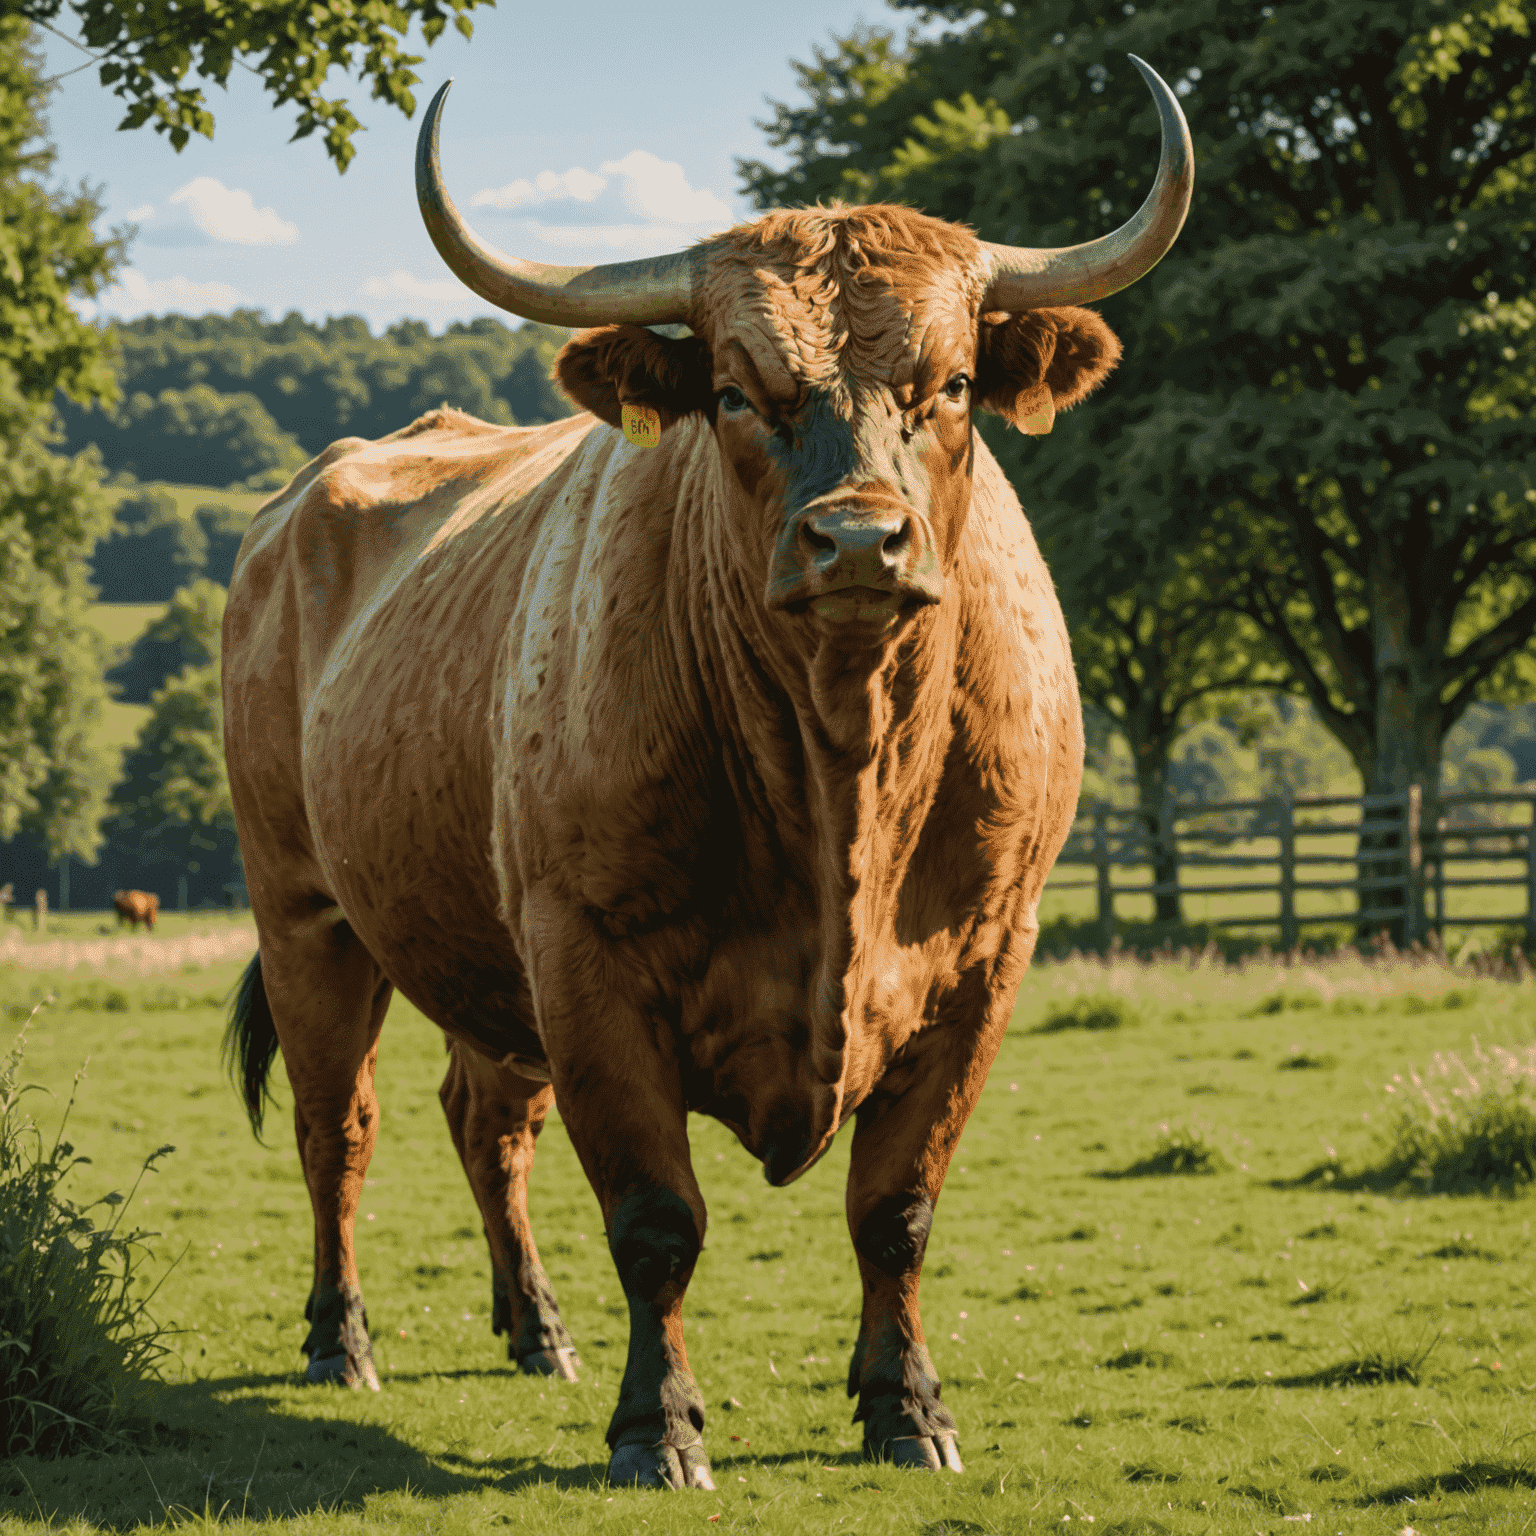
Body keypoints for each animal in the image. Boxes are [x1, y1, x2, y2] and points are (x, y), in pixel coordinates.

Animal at [222, 59, 1191, 1486]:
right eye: (737, 392)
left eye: (953, 383)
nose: (859, 541)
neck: (840, 771)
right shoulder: (586, 958)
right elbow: (654, 1221)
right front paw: (657, 1426)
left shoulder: (984, 963)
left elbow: (896, 1208)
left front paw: (906, 1405)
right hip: (307, 913)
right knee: (335, 1129)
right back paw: (341, 1341)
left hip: (472, 944)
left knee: (483, 1121)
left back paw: (536, 1330)